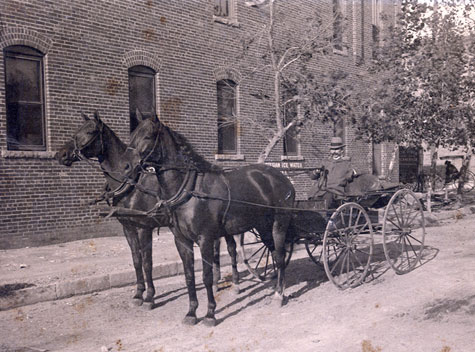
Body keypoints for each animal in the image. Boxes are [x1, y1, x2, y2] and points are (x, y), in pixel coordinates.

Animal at [116, 115, 294, 324]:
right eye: (132, 135)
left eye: (148, 136)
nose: (124, 166)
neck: (189, 190)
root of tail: (282, 178)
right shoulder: (182, 241)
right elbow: (189, 276)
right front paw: (191, 313)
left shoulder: (205, 239)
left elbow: (207, 277)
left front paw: (210, 313)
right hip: (263, 227)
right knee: (274, 254)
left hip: (278, 225)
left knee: (280, 256)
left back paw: (279, 295)